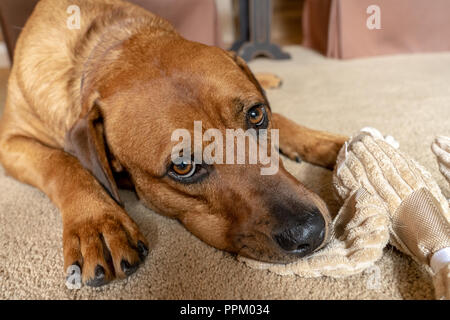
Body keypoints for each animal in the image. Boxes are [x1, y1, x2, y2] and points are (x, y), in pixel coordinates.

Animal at [0, 0, 348, 286]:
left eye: (256, 114)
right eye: (183, 167)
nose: (310, 232)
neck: (107, 44)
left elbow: (284, 120)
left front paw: (329, 143)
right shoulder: (10, 143)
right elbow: (62, 162)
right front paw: (96, 222)